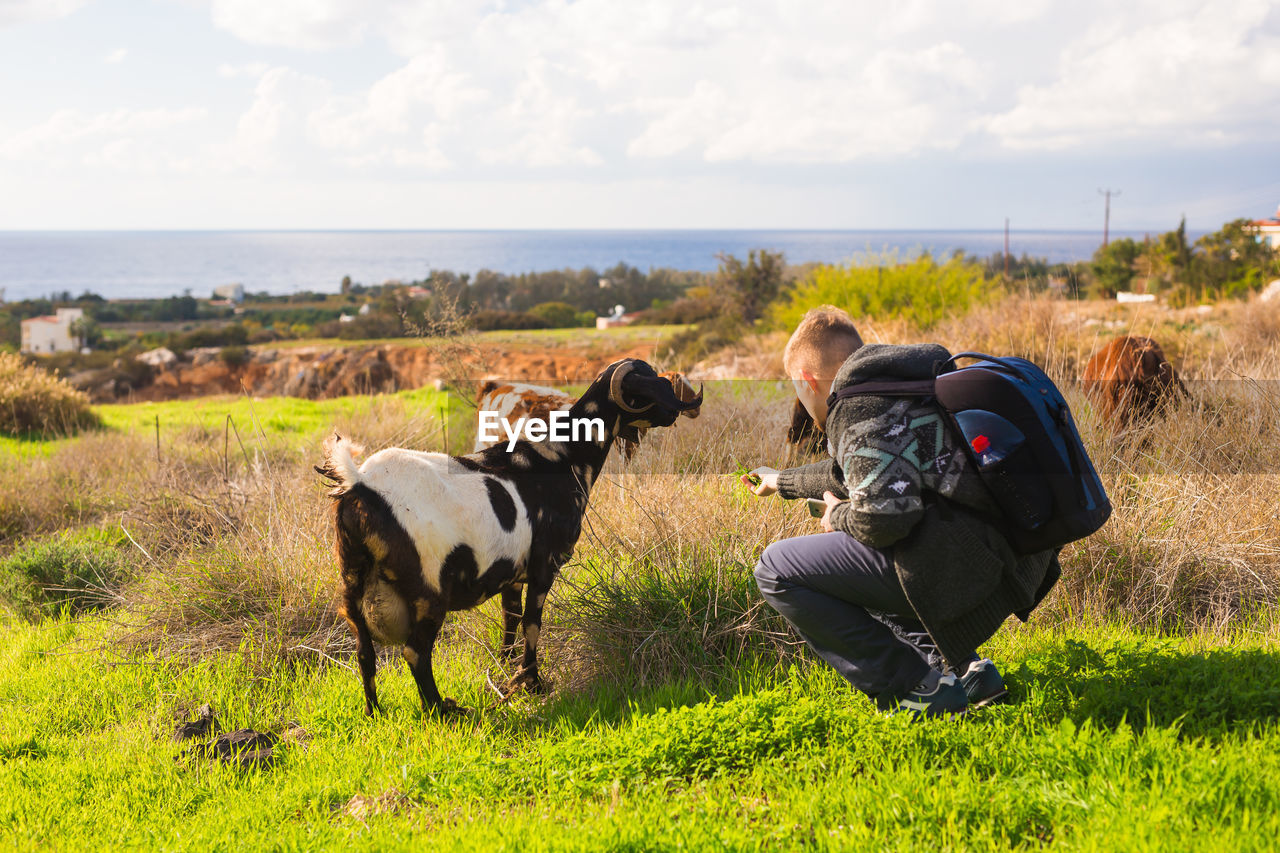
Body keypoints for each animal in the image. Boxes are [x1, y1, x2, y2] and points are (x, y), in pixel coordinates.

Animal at [318, 356, 701, 712]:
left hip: (352, 582)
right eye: (646, 386)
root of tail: (360, 484)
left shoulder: (513, 573)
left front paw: (506, 666)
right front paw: (533, 683)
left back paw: (375, 712)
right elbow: (533, 622)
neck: (563, 455)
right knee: (415, 652)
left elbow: (510, 618)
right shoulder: (545, 564)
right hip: (428, 590)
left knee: (364, 652)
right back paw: (443, 710)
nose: (678, 410)